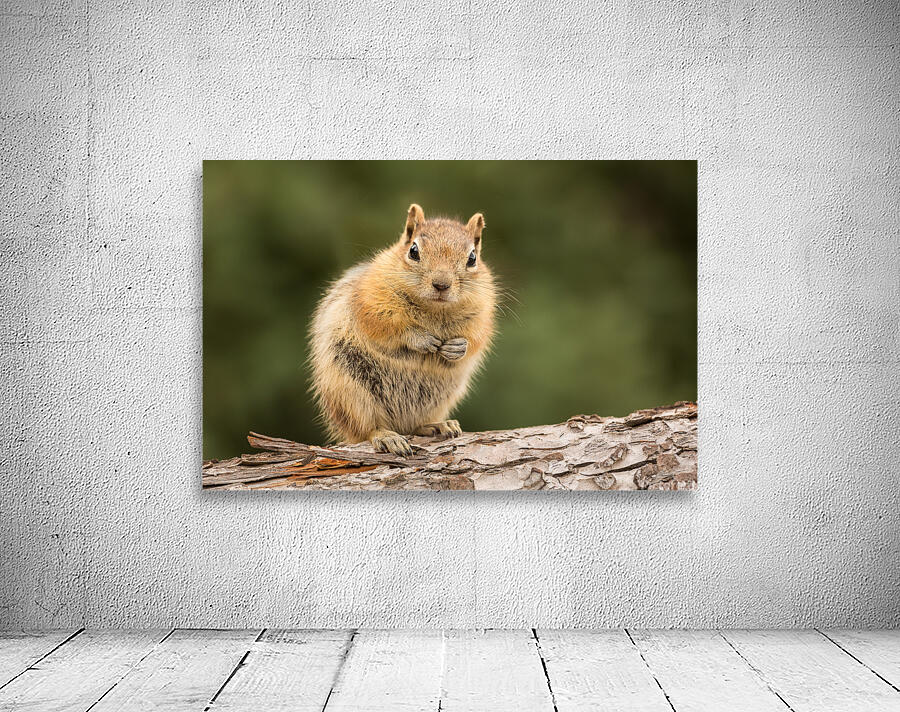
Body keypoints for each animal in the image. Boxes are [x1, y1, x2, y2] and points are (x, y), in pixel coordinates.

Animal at [309, 203, 497, 455]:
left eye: (472, 258)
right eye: (413, 251)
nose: (441, 284)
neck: (434, 310)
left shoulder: (482, 311)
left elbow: (477, 338)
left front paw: (458, 347)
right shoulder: (371, 299)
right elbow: (385, 326)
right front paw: (420, 339)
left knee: (415, 425)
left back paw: (437, 425)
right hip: (350, 393)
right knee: (366, 429)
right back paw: (387, 436)